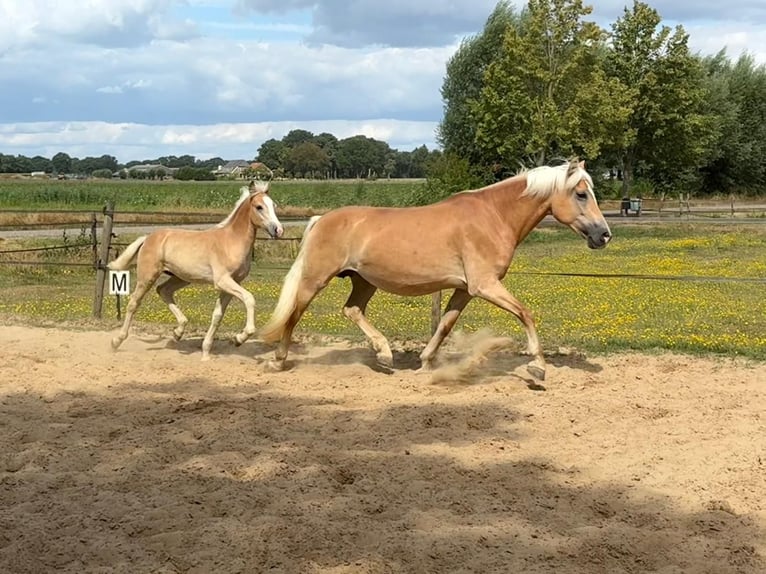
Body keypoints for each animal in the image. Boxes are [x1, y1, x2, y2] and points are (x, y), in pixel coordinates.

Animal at [108, 180, 284, 360]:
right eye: (259, 207)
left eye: (274, 205)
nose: (278, 230)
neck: (231, 241)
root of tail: (148, 238)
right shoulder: (223, 281)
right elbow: (249, 298)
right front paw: (240, 338)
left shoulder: (232, 283)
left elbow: (217, 315)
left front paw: (207, 352)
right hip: (147, 276)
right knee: (134, 303)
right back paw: (116, 342)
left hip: (180, 277)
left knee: (163, 290)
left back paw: (178, 332)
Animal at [259, 159, 611, 381]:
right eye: (581, 194)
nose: (604, 235)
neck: (493, 216)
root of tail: (321, 219)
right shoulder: (485, 285)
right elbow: (525, 313)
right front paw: (538, 367)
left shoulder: (464, 290)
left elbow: (444, 325)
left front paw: (425, 362)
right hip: (316, 279)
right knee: (294, 314)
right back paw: (278, 361)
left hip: (364, 281)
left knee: (352, 310)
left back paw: (384, 355)